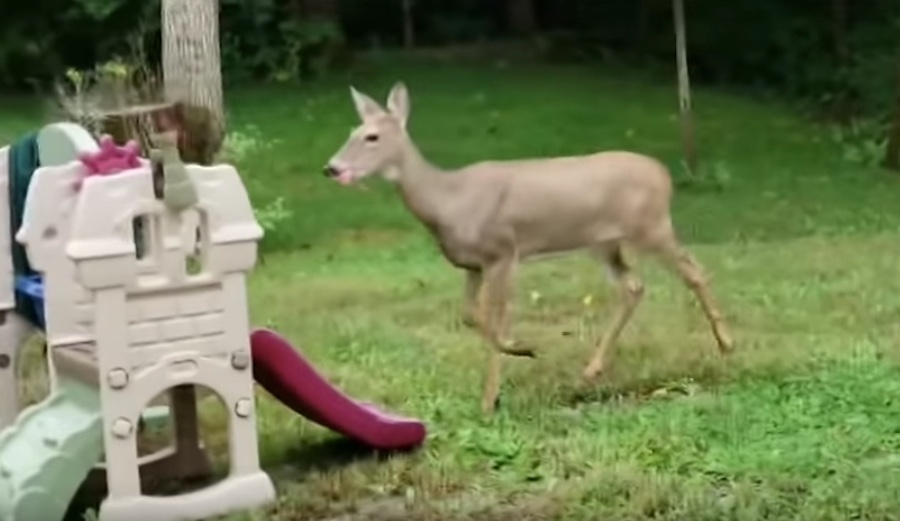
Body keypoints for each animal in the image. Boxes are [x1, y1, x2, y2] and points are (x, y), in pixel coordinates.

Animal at [323, 82, 734, 415]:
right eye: (352, 131)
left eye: (372, 137)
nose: (332, 168)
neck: (447, 200)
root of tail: (664, 175)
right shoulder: (472, 264)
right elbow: (470, 316)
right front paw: (519, 351)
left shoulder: (504, 252)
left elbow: (496, 318)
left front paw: (492, 394)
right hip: (604, 242)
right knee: (633, 287)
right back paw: (591, 370)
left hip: (650, 226)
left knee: (694, 271)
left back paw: (727, 345)